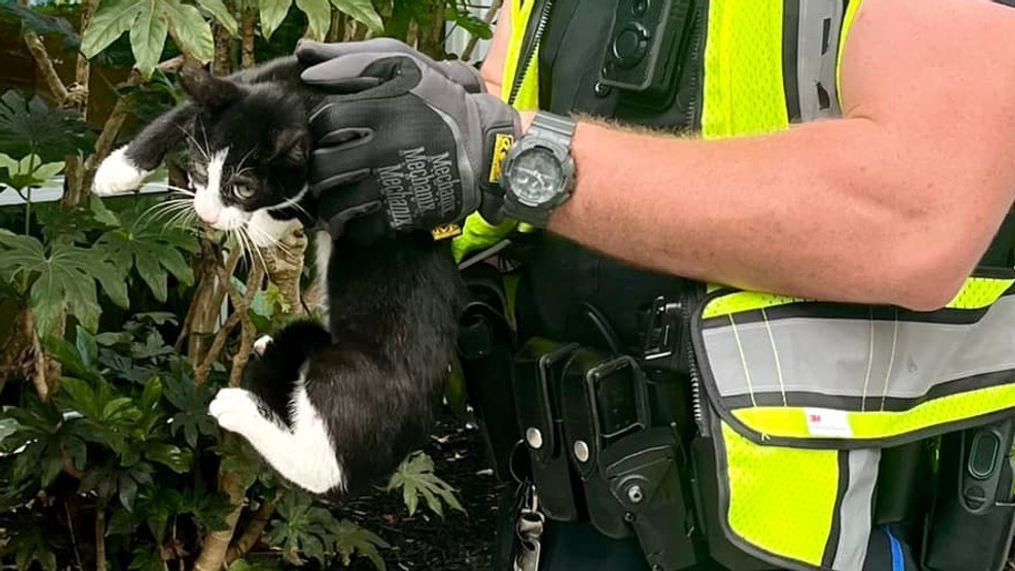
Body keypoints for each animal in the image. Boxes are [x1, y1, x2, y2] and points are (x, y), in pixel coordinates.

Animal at [91, 58, 464, 496]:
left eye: (244, 188)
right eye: (199, 169)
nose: (206, 213)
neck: (306, 99)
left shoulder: (351, 174)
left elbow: (302, 201)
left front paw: (260, 227)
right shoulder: (267, 76)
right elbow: (181, 112)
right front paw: (118, 169)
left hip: (351, 373)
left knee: (323, 466)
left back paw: (236, 407)